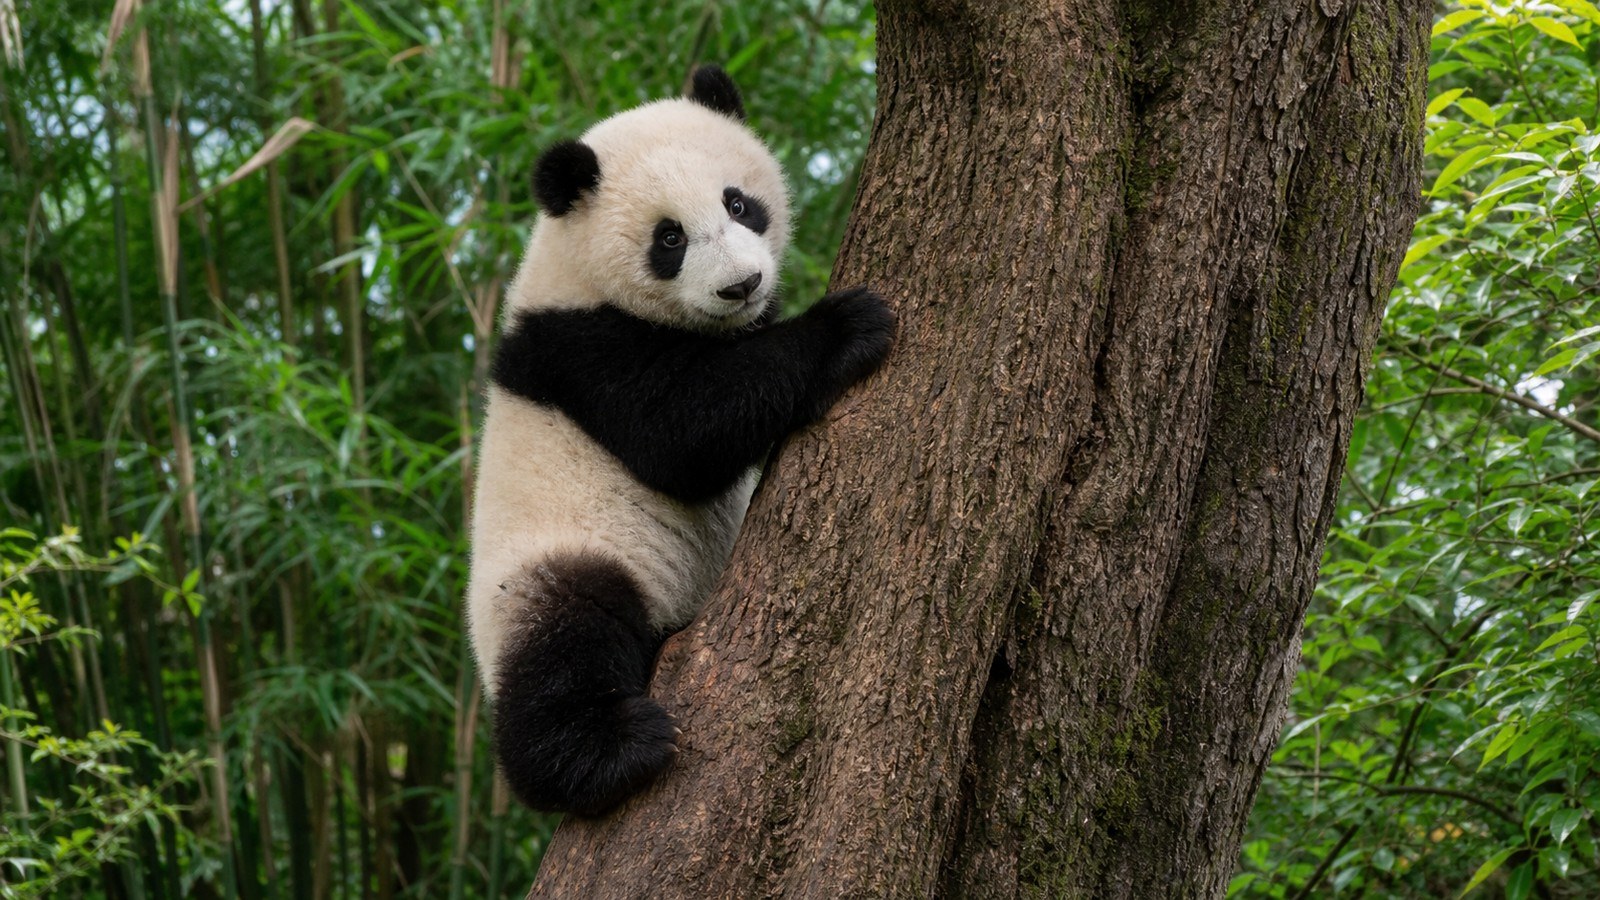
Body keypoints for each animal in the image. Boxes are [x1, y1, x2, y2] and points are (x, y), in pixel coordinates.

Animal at [467, 65, 896, 817]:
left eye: (738, 203)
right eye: (669, 240)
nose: (742, 285)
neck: (575, 271)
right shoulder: (583, 351)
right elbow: (684, 431)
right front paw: (845, 326)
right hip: (550, 561)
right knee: (564, 639)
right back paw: (608, 751)